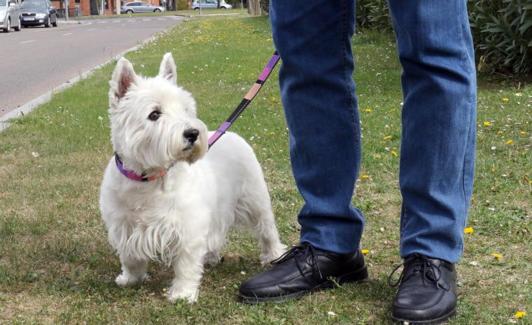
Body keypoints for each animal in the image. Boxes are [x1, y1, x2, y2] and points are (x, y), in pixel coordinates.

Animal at [97, 53, 284, 304]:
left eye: (185, 110)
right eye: (154, 114)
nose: (193, 133)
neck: (148, 180)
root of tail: (232, 134)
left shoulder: (187, 226)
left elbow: (185, 264)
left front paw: (182, 293)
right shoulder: (123, 225)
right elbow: (130, 256)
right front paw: (130, 279)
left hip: (254, 199)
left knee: (266, 228)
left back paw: (273, 254)